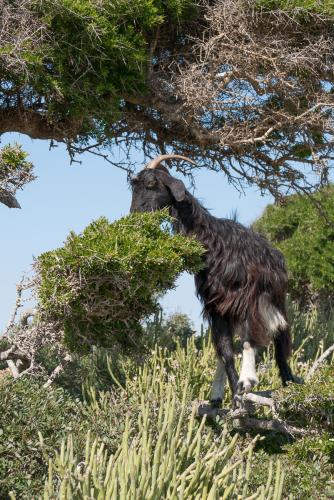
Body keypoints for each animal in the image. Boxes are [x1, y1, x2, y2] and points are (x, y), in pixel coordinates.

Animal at [129, 155, 298, 406]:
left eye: (151, 184)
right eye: (134, 185)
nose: (135, 217)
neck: (213, 243)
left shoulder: (248, 299)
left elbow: (248, 339)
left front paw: (248, 380)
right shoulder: (216, 306)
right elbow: (226, 352)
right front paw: (237, 395)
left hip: (274, 301)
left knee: (279, 338)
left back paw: (288, 381)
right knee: (223, 349)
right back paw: (217, 394)